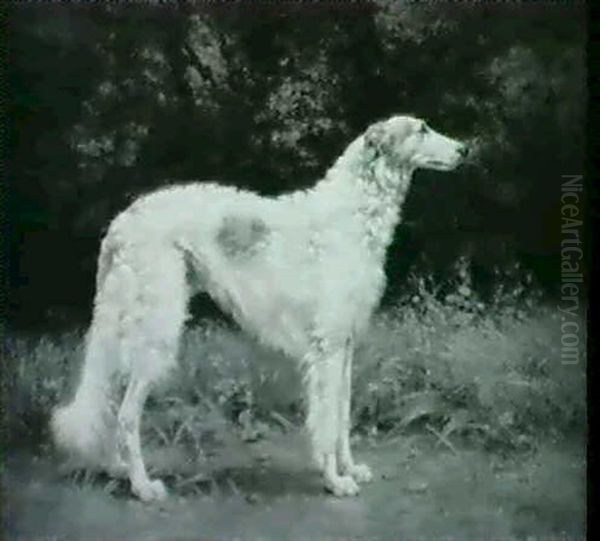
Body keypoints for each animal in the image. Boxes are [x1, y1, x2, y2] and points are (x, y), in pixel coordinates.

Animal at [51, 116, 468, 500]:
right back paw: (142, 486)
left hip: (127, 329)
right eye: (421, 129)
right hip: (154, 330)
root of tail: (120, 223)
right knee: (125, 415)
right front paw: (335, 480)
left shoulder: (345, 344)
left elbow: (342, 415)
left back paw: (117, 468)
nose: (465, 150)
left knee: (110, 402)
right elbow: (327, 420)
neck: (352, 213)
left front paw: (351, 469)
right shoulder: (327, 348)